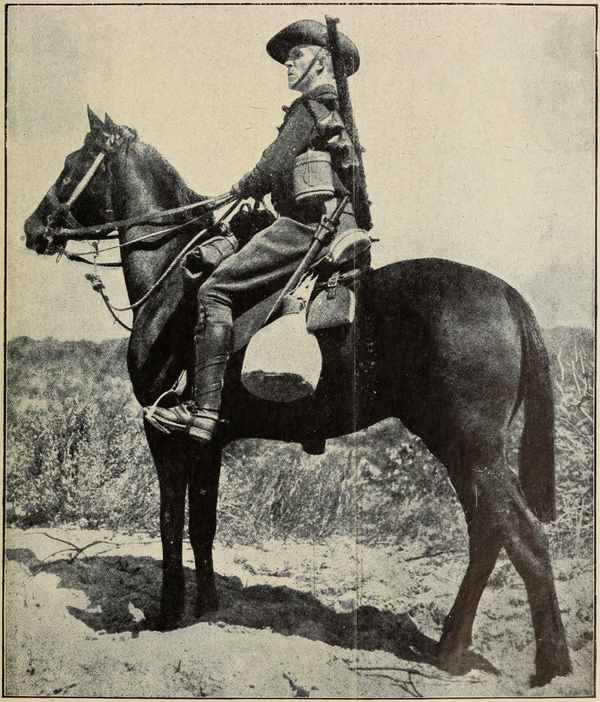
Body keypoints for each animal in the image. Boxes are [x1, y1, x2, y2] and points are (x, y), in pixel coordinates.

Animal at [23, 108, 571, 686]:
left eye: (70, 167)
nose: (33, 229)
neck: (174, 276)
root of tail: (506, 295)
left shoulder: (163, 433)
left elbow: (170, 523)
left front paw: (169, 615)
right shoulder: (209, 441)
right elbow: (202, 524)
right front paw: (207, 606)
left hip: (473, 450)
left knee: (525, 540)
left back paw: (551, 666)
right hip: (459, 451)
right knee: (488, 535)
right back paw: (450, 646)